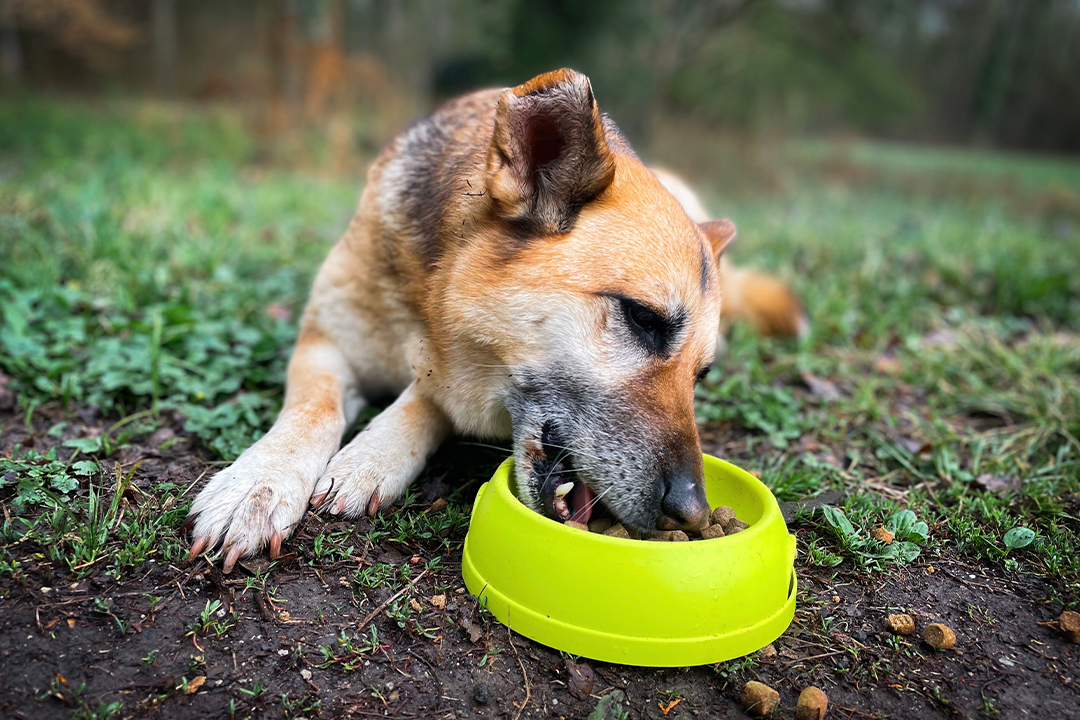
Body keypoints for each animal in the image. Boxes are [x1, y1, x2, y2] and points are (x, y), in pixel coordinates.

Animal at [185, 69, 803, 574]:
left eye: (702, 376)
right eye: (643, 319)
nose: (691, 513)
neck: (424, 298)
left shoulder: (440, 372)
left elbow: (424, 399)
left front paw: (371, 455)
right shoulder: (325, 341)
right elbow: (311, 409)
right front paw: (259, 485)